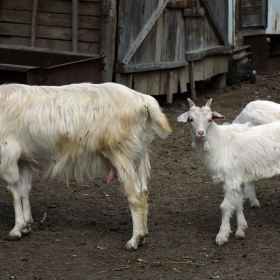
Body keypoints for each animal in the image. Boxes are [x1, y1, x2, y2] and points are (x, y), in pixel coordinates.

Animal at [0, 81, 172, 249]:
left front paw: (16, 230)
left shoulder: (8, 152)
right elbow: (24, 189)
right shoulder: (23, 159)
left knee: (136, 197)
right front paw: (26, 225)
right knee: (144, 192)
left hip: (121, 153)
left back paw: (134, 240)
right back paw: (143, 236)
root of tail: (144, 101)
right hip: (139, 154)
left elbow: (14, 191)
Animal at [178, 98, 280, 245]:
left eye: (210, 119)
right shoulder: (234, 179)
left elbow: (225, 206)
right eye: (190, 119)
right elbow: (237, 203)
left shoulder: (231, 178)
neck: (219, 142)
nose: (201, 133)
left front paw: (222, 235)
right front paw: (241, 229)